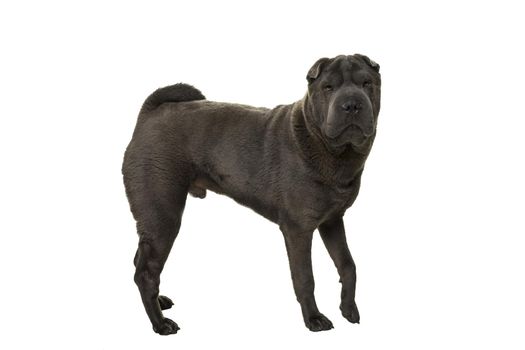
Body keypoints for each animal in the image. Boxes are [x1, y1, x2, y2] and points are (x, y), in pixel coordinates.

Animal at [123, 53, 380, 334]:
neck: (330, 151)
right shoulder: (298, 230)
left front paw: (349, 309)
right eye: (328, 87)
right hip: (163, 216)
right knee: (147, 272)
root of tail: (150, 113)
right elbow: (305, 278)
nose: (352, 105)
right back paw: (160, 323)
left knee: (140, 262)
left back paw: (159, 303)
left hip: (155, 222)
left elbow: (348, 265)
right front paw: (313, 318)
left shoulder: (332, 221)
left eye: (367, 83)